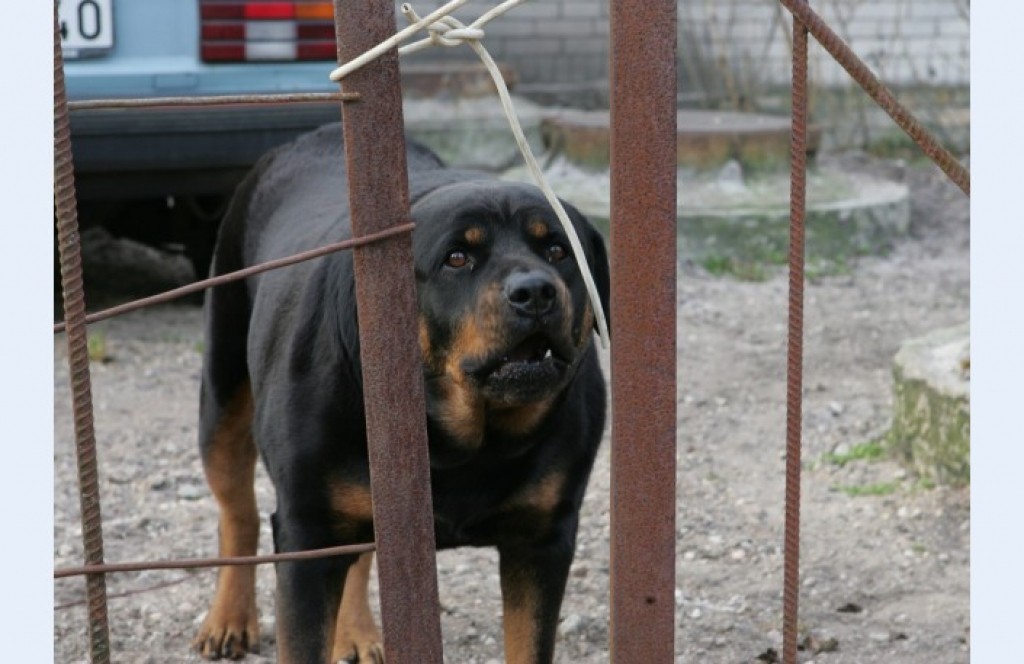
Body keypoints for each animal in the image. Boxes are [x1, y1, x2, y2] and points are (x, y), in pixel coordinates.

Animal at [192, 124, 606, 664]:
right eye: (457, 258)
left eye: (558, 251)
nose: (535, 291)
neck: (464, 440)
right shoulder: (308, 533)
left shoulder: (542, 538)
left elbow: (529, 643)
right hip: (221, 396)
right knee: (238, 512)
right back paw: (229, 619)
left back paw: (355, 631)